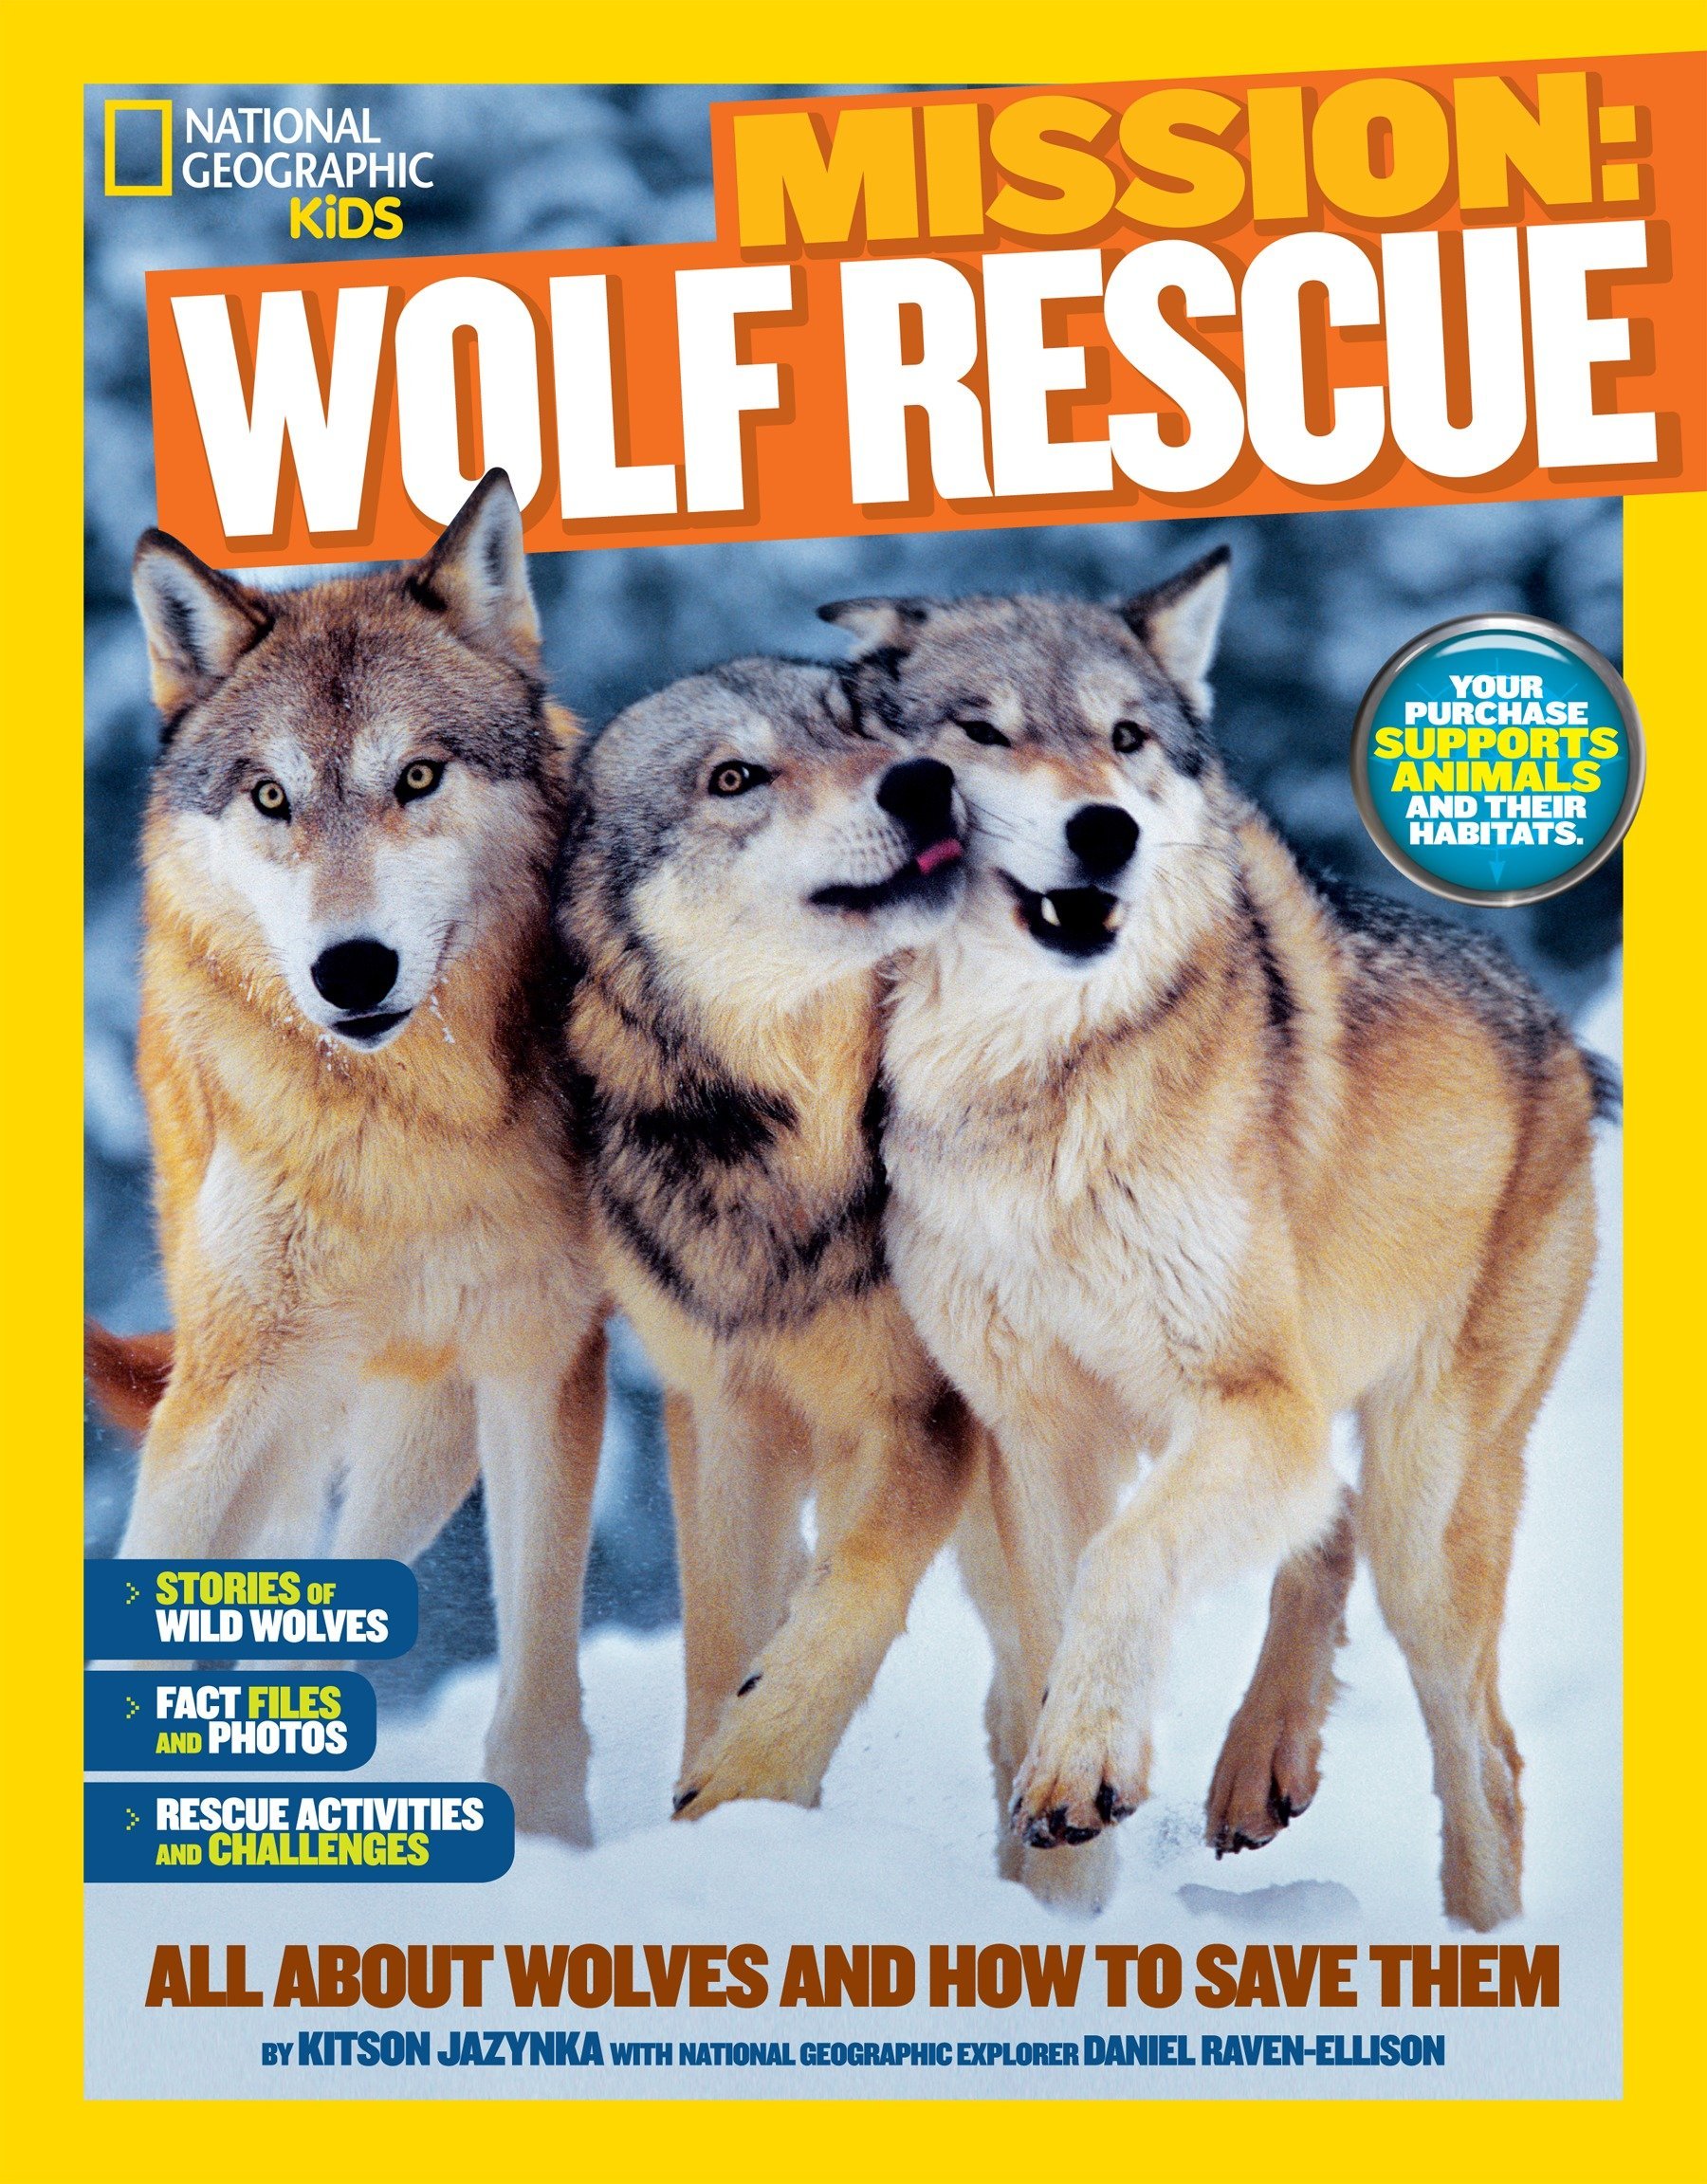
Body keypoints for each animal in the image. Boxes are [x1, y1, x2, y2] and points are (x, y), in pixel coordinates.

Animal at [107, 470, 607, 1841]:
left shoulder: (544, 1362)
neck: (412, 1133)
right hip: (276, 1399)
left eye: (419, 775)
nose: (352, 969)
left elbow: (540, 1684)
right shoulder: (224, 1389)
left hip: (422, 1438)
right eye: (272, 796)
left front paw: (550, 1845)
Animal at [558, 658, 980, 1817]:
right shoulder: (728, 1414)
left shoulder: (922, 1417)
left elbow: (851, 1594)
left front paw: (748, 1781)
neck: (800, 1145)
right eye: (735, 777)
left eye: (863, 728)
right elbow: (722, 1637)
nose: (925, 782)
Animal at [826, 553, 1613, 1929]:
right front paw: (1061, 1912)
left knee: (1491, 1761)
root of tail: (1561, 1034)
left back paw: (1485, 1943)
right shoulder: (1041, 1432)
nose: (1107, 829)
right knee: (1325, 1523)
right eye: (983, 730)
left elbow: (1123, 1564)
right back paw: (1261, 1765)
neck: (1032, 1081)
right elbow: (1056, 1625)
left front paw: (1082, 1768)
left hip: (1427, 1515)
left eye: (1128, 738)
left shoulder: (1251, 1401)